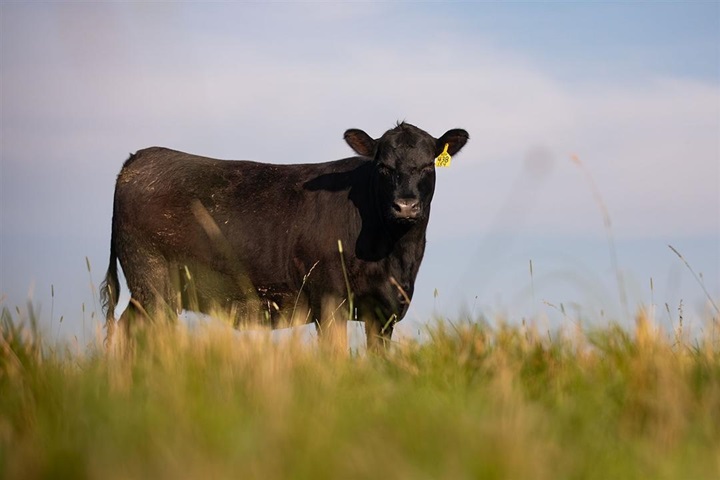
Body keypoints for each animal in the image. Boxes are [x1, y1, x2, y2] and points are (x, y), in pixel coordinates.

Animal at [102, 123, 472, 348]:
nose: (405, 205)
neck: (395, 255)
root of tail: (141, 157)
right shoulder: (330, 301)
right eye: (383, 166)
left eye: (427, 165)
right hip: (152, 282)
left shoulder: (384, 311)